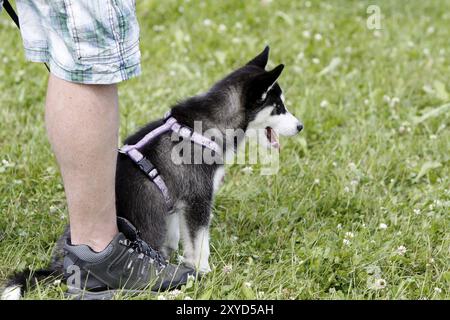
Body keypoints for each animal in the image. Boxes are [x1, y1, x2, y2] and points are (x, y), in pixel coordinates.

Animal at [1, 46, 302, 298]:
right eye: (278, 107)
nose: (300, 126)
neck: (208, 125)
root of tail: (61, 267)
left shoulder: (174, 204)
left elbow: (176, 237)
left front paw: (176, 261)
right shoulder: (197, 200)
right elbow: (199, 243)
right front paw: (203, 271)